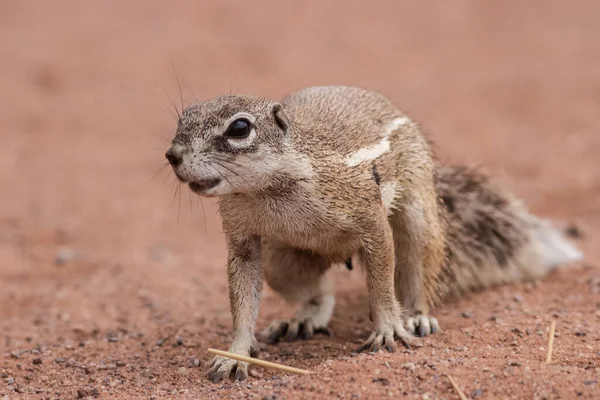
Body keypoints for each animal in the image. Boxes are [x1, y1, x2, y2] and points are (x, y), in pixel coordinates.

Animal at [163, 84, 580, 382]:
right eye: (184, 117)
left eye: (239, 128)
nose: (172, 155)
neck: (269, 190)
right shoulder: (242, 237)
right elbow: (242, 300)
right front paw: (235, 354)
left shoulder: (368, 215)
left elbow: (381, 281)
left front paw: (388, 330)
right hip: (282, 260)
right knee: (318, 293)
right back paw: (302, 320)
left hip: (418, 217)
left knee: (416, 271)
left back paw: (416, 317)